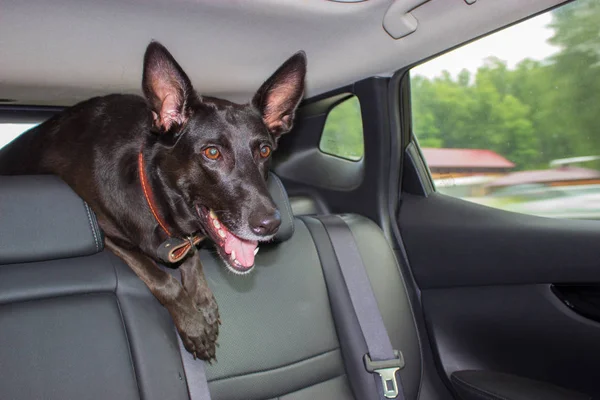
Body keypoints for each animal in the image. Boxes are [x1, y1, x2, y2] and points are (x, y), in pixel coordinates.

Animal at [0, 41, 308, 360]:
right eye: (212, 153)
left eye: (264, 151)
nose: (270, 224)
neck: (153, 193)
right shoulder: (107, 233)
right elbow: (163, 280)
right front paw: (193, 324)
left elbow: (191, 258)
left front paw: (203, 303)